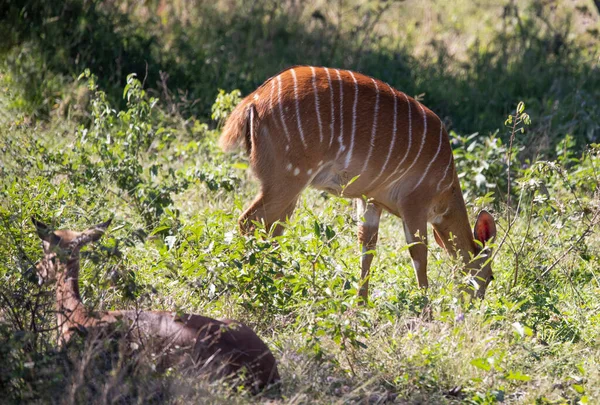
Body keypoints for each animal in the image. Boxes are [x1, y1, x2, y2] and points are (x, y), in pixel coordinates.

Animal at [219, 66, 496, 300]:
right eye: (490, 276)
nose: (477, 303)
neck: (445, 186)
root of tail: (254, 100)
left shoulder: (370, 200)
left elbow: (367, 247)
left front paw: (360, 304)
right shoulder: (414, 203)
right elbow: (419, 253)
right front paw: (424, 307)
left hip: (287, 190)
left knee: (271, 230)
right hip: (287, 180)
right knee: (249, 222)